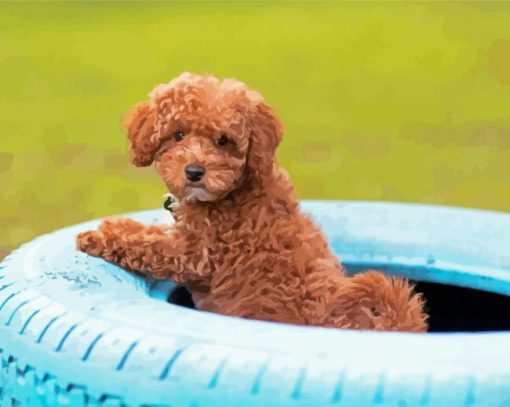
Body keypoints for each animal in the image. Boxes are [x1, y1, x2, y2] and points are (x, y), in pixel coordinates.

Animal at [76, 73, 426, 334]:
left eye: (223, 140)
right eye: (178, 135)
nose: (194, 172)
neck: (232, 193)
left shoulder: (197, 254)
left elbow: (152, 244)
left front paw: (100, 234)